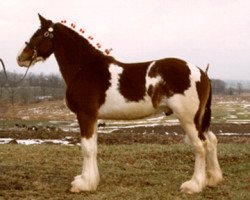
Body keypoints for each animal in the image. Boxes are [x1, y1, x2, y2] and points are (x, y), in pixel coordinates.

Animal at [17, 14, 223, 195]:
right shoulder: (93, 118)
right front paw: (90, 181)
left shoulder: (85, 115)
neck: (85, 68)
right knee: (211, 141)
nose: (20, 58)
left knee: (200, 146)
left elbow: (87, 149)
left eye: (38, 34)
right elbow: (93, 147)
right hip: (199, 119)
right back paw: (212, 180)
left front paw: (83, 184)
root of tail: (202, 73)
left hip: (188, 119)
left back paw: (193, 185)